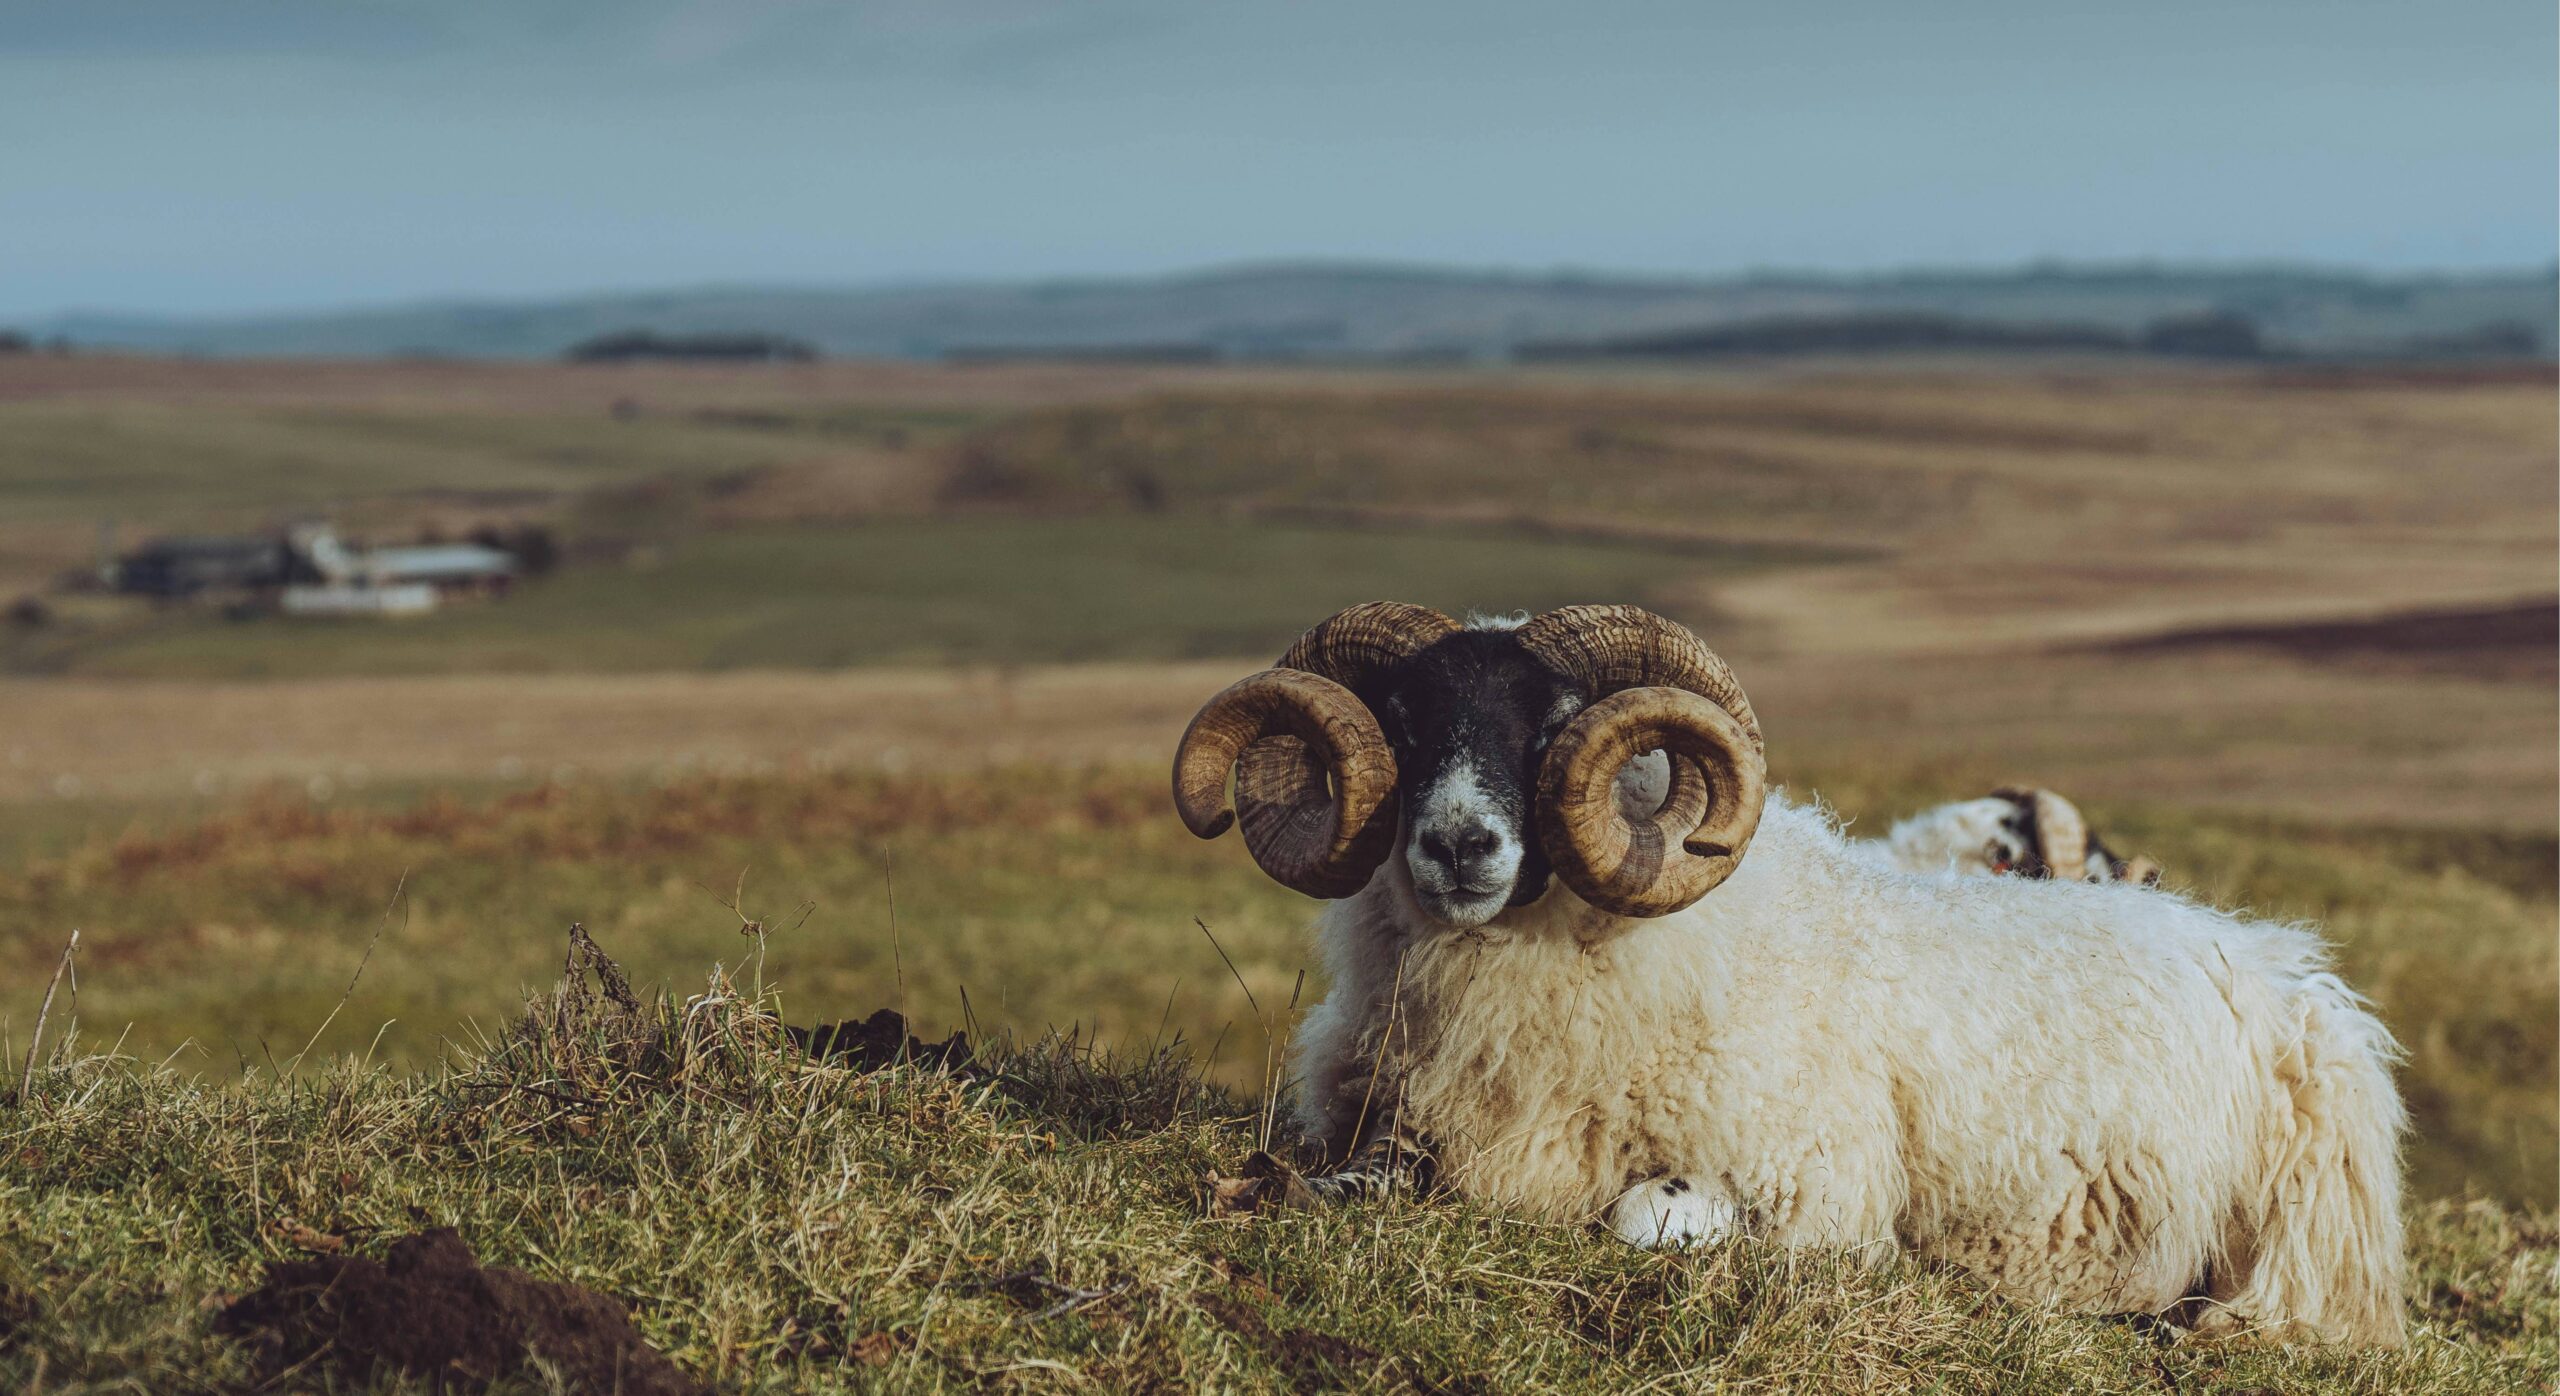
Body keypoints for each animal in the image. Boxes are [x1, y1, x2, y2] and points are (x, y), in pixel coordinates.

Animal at [1176, 603, 2406, 1346]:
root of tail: (2274, 960)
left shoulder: (1819, 1184)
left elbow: (1641, 1220)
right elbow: (1346, 1176)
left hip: (2295, 1247)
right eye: (1402, 722)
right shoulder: (1393, 1117)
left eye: (1552, 726)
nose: (1458, 844)